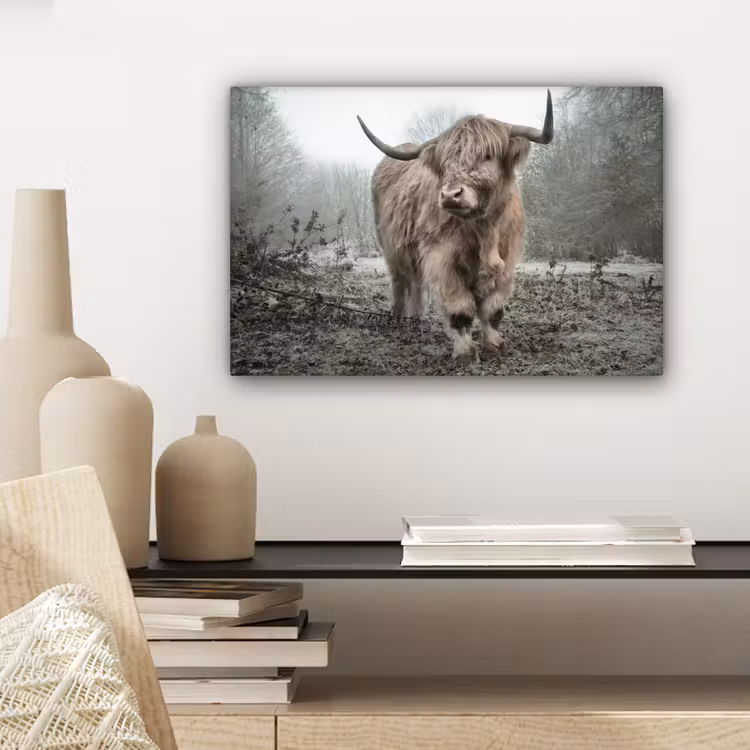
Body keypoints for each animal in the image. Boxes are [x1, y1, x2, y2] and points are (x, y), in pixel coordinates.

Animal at [357, 91, 553, 361]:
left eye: (487, 155)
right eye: (446, 161)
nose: (451, 195)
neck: (484, 230)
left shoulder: (507, 260)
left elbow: (493, 309)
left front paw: (494, 345)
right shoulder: (442, 259)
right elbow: (461, 309)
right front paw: (465, 353)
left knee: (416, 283)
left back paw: (415, 320)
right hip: (390, 248)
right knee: (400, 281)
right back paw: (398, 319)